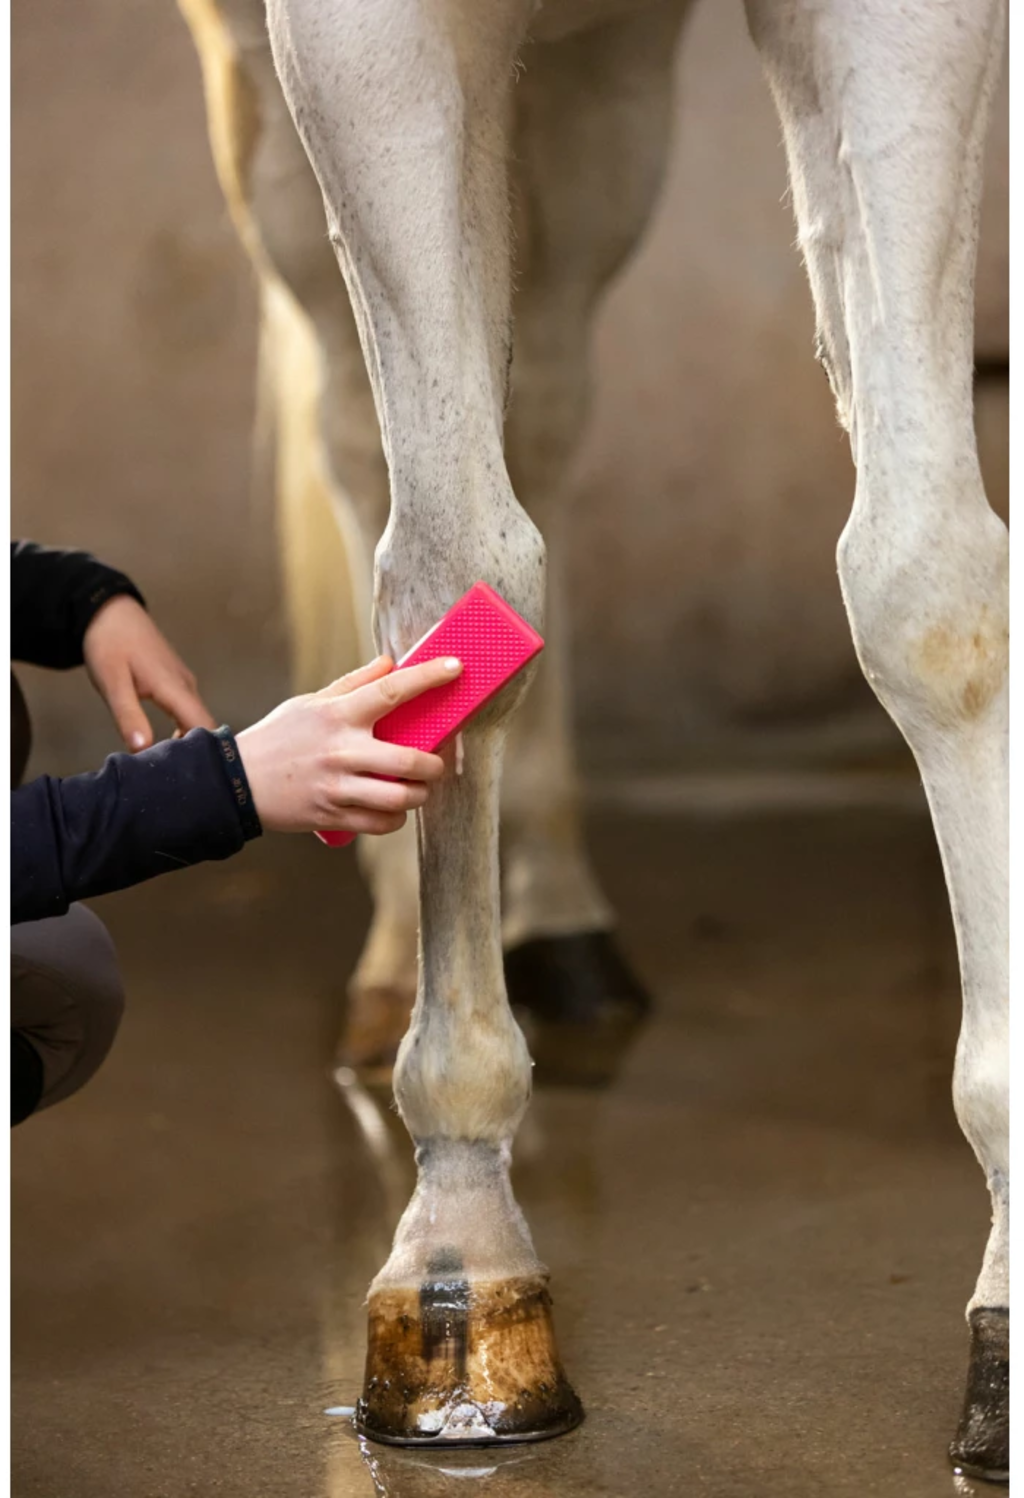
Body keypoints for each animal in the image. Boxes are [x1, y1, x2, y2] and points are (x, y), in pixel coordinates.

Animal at [179, 0, 1008, 1476]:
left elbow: (930, 587)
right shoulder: (353, 36)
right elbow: (448, 582)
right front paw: (456, 1265)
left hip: (604, 82)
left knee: (545, 407)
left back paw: (560, 919)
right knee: (353, 426)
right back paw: (395, 957)